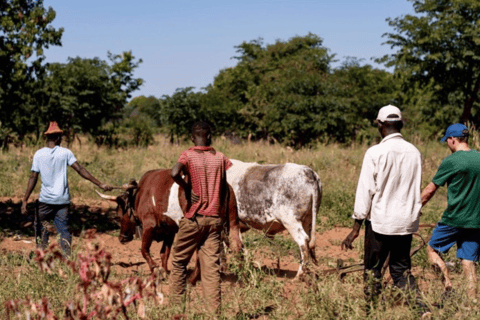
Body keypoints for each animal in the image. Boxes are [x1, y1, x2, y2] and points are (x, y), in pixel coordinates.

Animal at [96, 168, 242, 278]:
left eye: (119, 215)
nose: (121, 238)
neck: (139, 194)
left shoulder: (149, 225)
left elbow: (144, 250)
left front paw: (155, 269)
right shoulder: (169, 231)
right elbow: (164, 253)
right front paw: (165, 271)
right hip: (231, 222)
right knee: (235, 245)